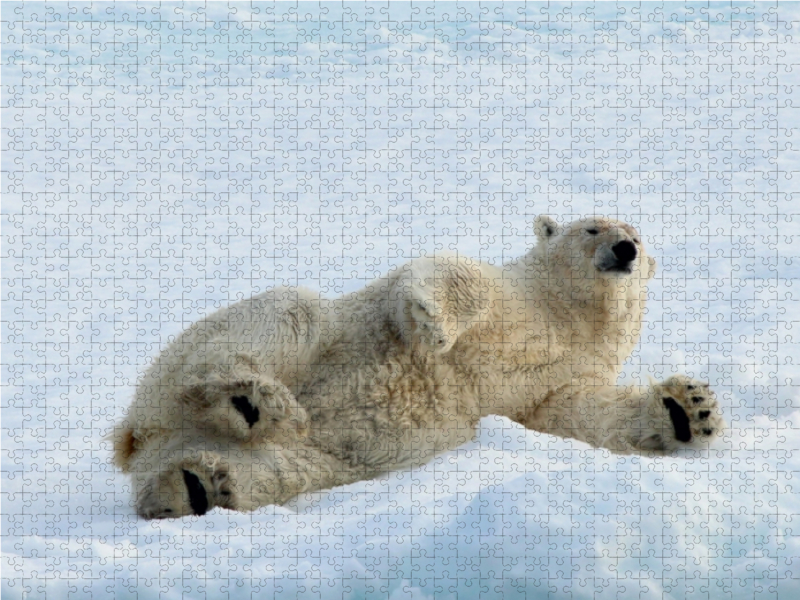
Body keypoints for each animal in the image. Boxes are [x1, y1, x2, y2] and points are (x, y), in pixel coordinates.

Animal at [109, 217, 728, 520]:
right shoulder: (514, 297)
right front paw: (434, 324)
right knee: (281, 319)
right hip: (241, 347)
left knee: (283, 467)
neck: (569, 317)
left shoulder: (561, 379)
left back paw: (196, 486)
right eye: (593, 228)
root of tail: (140, 435)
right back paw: (252, 398)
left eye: (639, 235)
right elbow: (452, 275)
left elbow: (580, 414)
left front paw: (690, 409)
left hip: (308, 454)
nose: (626, 249)